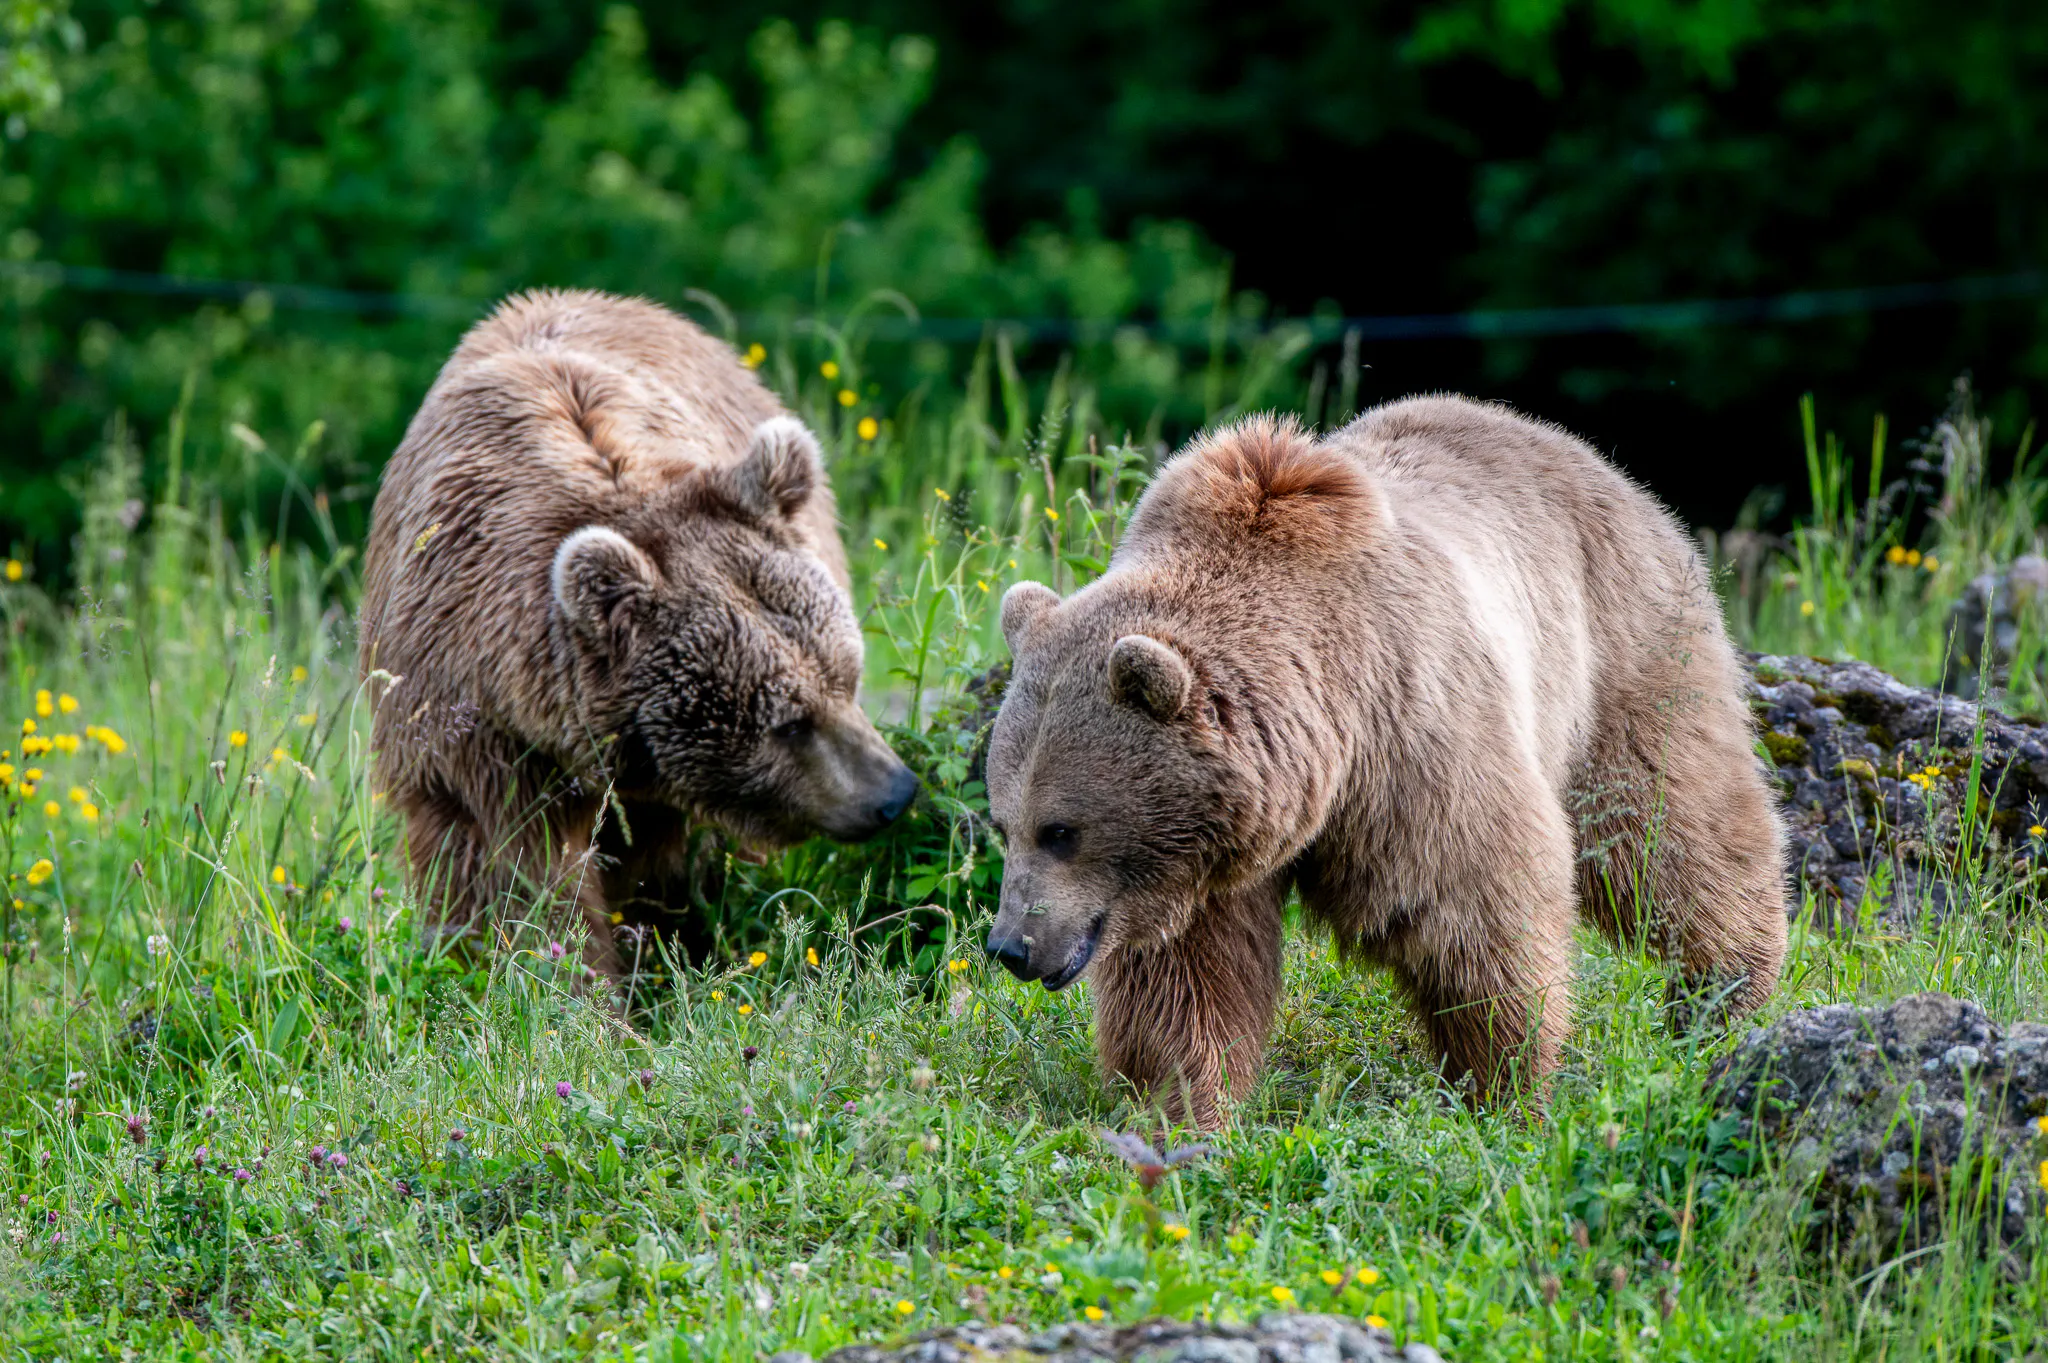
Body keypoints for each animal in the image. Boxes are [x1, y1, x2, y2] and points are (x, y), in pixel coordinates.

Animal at [358, 289, 918, 972]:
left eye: (847, 676)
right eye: (788, 722)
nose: (894, 792)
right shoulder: (473, 719)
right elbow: (510, 866)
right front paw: (562, 975)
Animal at [984, 397, 1786, 1129]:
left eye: (1061, 830)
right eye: (1003, 824)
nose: (1011, 945)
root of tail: (1591, 456)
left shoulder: (1410, 735)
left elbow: (1473, 907)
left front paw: (1502, 1086)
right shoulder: (1204, 854)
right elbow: (1190, 977)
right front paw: (1181, 1105)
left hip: (1621, 651)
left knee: (1668, 826)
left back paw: (1726, 989)